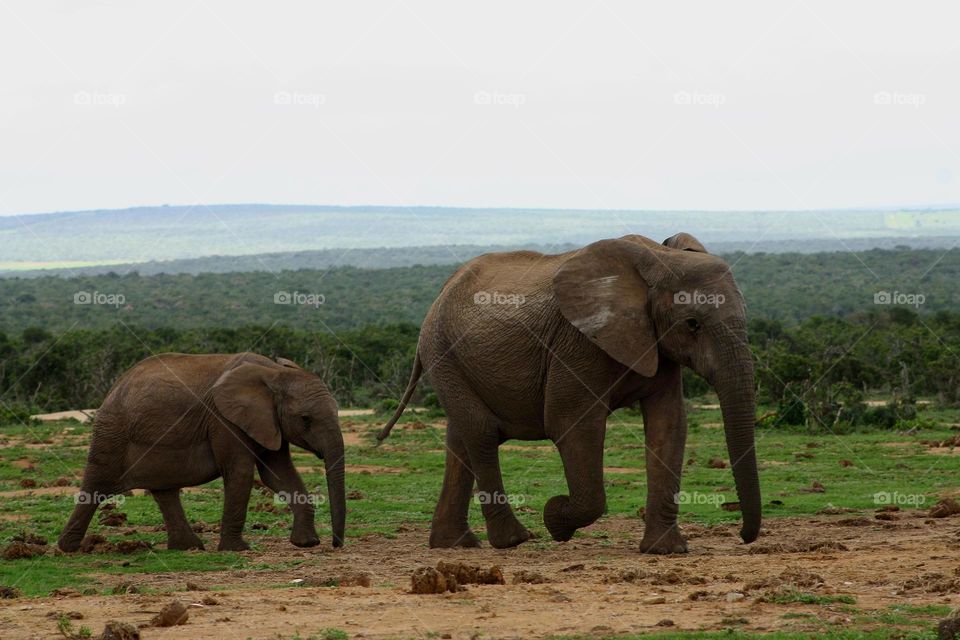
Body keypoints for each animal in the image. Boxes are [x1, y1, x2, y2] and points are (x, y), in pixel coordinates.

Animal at [57, 352, 344, 552]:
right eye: (306, 419)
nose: (336, 544)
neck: (273, 373)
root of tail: (115, 386)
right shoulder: (223, 419)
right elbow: (241, 472)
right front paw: (237, 550)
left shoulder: (268, 423)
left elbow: (279, 474)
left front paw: (306, 543)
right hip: (112, 432)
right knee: (96, 485)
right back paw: (69, 548)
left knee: (164, 490)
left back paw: (188, 547)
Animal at [378, 232, 760, 552]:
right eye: (692, 324)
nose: (743, 538)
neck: (659, 257)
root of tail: (439, 295)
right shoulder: (577, 343)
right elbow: (571, 425)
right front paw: (555, 519)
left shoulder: (658, 346)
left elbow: (668, 427)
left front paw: (666, 551)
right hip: (442, 352)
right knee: (481, 433)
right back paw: (513, 541)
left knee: (460, 439)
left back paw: (456, 544)